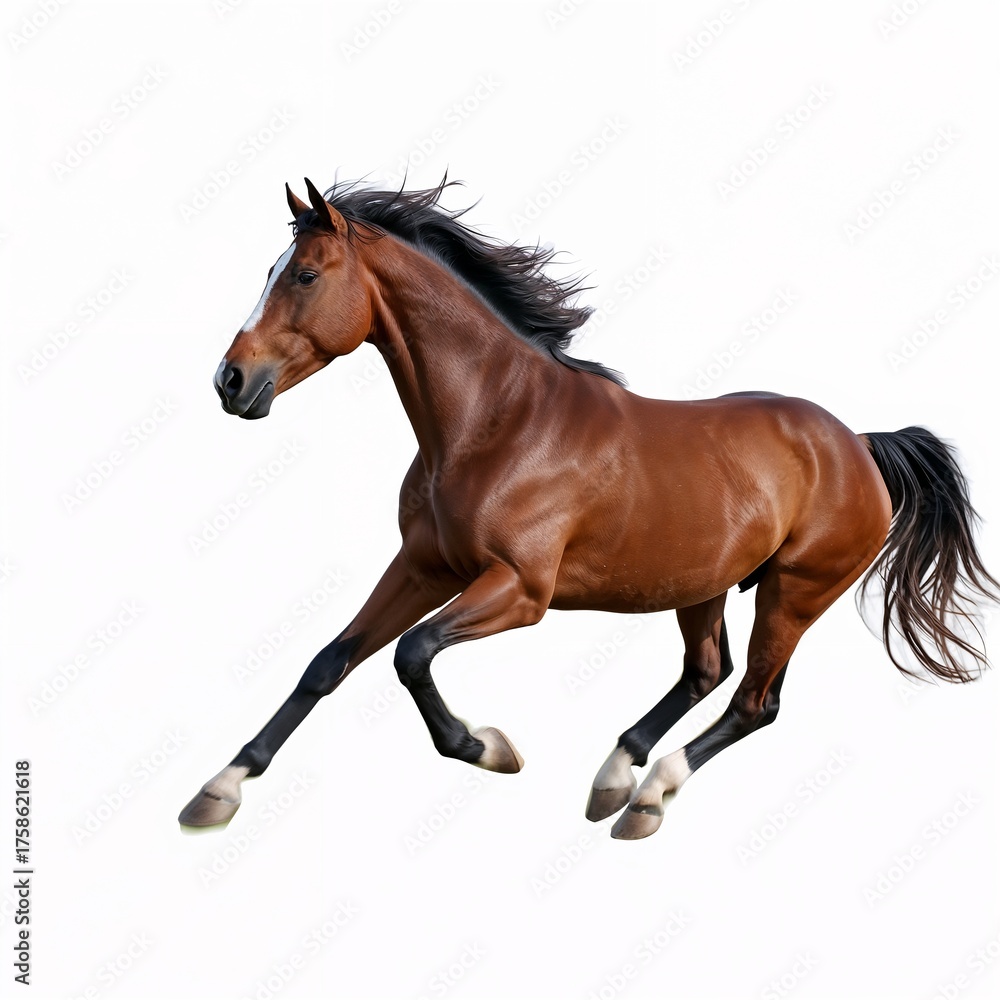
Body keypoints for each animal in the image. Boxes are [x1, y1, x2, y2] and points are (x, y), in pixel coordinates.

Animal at [179, 177, 997, 840]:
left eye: (305, 275)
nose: (229, 381)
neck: (497, 424)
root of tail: (858, 444)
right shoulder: (422, 565)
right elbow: (330, 661)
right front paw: (217, 791)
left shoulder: (519, 590)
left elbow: (412, 654)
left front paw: (488, 747)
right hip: (700, 585)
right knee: (707, 672)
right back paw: (614, 777)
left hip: (796, 592)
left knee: (753, 702)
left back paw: (648, 798)